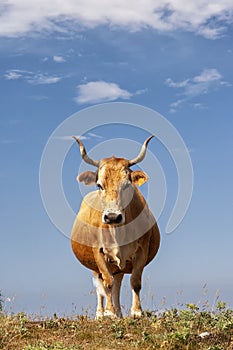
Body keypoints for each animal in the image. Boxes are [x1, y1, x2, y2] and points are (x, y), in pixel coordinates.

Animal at [71, 136, 160, 318]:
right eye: (99, 185)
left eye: (127, 185)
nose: (112, 216)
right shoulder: (98, 251)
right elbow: (108, 284)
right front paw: (109, 313)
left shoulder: (142, 249)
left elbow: (135, 281)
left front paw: (137, 311)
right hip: (95, 266)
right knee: (101, 287)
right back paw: (101, 313)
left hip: (118, 265)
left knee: (117, 283)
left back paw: (118, 312)